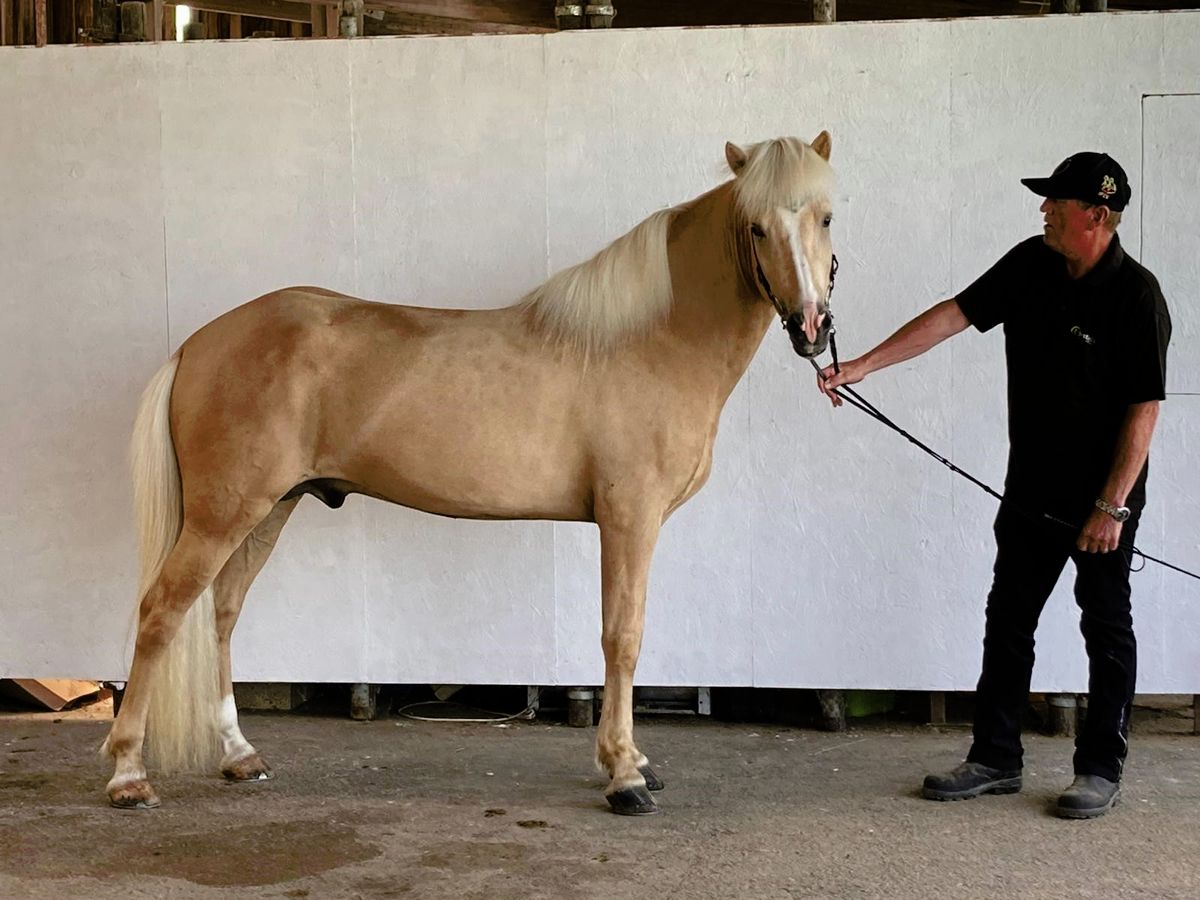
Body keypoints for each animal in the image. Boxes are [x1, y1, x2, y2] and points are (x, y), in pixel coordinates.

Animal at [101, 132, 837, 816]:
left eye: (826, 216)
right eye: (755, 227)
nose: (811, 326)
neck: (648, 339)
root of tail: (198, 343)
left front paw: (627, 761)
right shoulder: (630, 516)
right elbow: (622, 637)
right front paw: (626, 775)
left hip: (269, 508)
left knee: (222, 613)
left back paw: (239, 754)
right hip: (225, 512)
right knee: (162, 613)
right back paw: (128, 774)